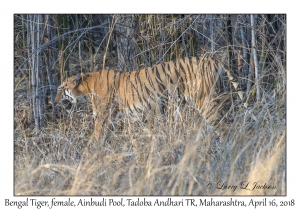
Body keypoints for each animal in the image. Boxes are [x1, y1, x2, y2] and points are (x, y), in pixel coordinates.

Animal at [55, 54, 245, 143]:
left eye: (61, 89)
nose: (54, 102)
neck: (87, 87)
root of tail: (213, 59)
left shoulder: (102, 118)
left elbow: (94, 139)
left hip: (205, 100)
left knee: (223, 128)